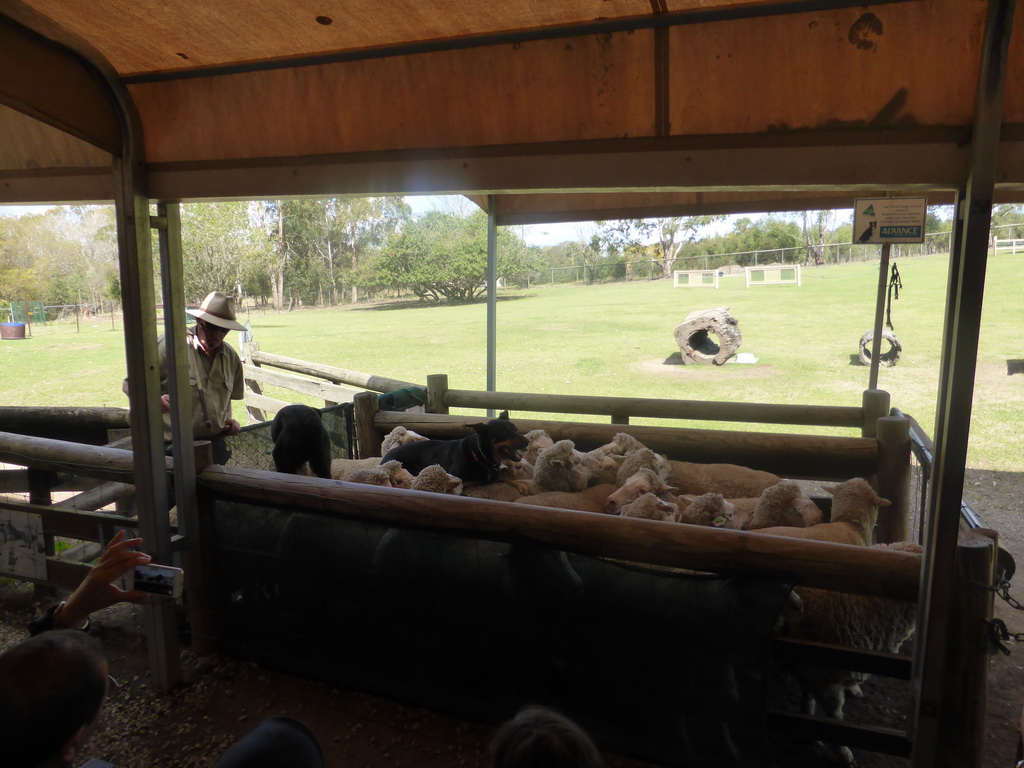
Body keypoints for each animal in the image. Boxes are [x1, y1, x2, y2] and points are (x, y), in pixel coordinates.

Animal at [380, 415, 532, 487]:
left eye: (515, 429)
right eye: (504, 433)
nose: (527, 441)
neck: (480, 456)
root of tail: (384, 458)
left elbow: (500, 477)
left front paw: (519, 484)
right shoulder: (458, 477)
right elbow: (478, 480)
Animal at [778, 544, 925, 765]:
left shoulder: (810, 668)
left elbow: (807, 701)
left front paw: (808, 730)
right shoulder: (825, 679)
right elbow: (834, 720)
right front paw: (843, 754)